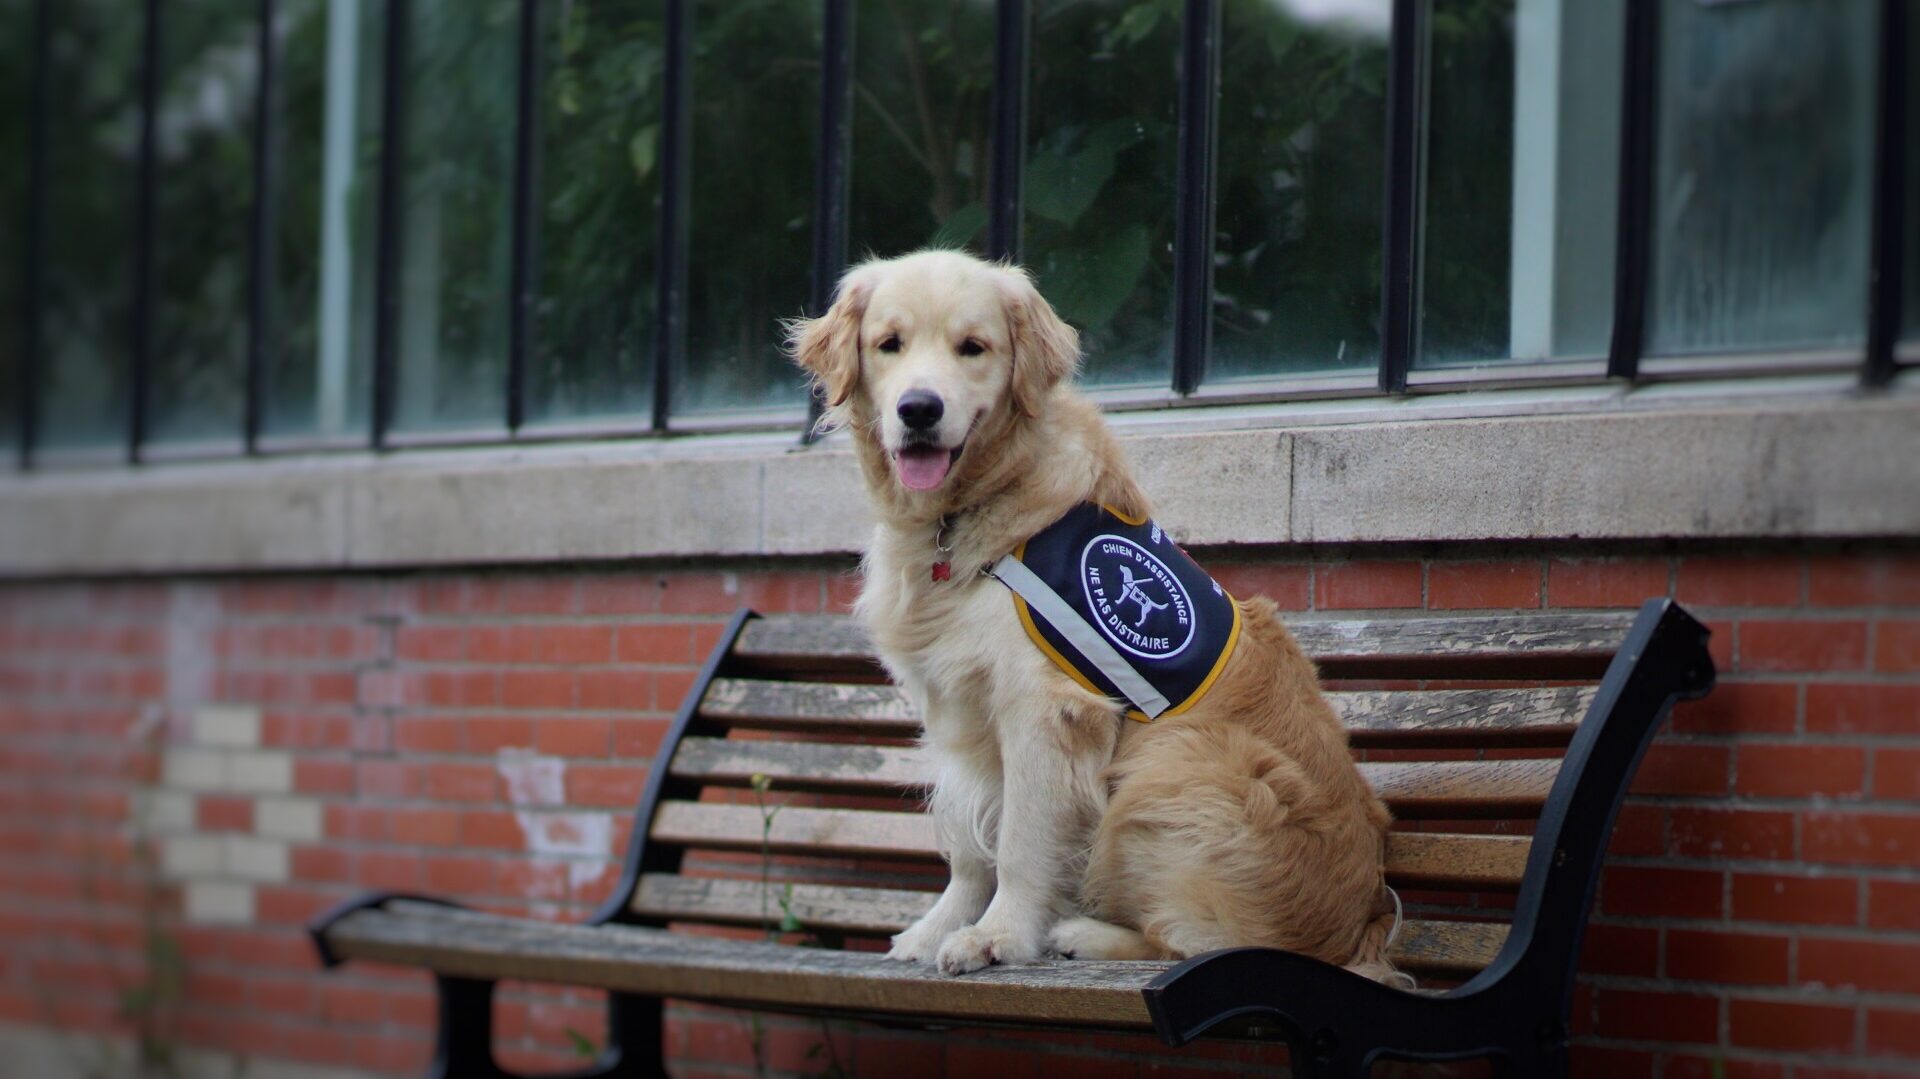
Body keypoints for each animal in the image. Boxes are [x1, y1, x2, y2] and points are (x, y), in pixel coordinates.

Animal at [787, 247, 1405, 979]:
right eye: (890, 344)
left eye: (973, 348)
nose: (918, 409)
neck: (963, 515)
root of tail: (1361, 926)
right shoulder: (958, 708)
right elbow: (967, 841)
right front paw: (936, 928)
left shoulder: (1046, 708)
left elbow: (1020, 841)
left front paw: (997, 937)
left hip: (1174, 765)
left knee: (1207, 942)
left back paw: (1085, 934)